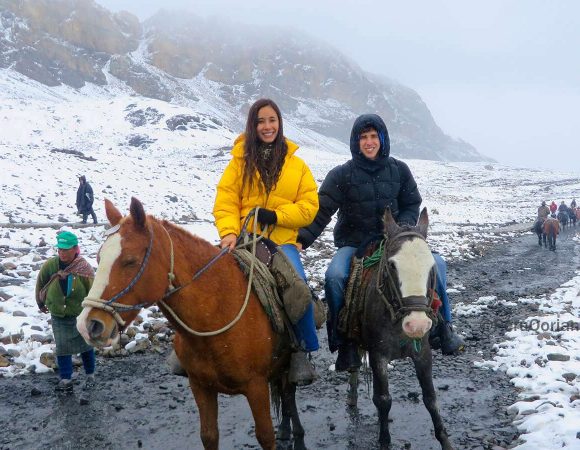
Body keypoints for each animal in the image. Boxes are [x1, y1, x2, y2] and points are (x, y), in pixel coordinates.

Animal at [76, 200, 308, 450]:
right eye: (99, 258)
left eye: (130, 261)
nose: (88, 325)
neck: (216, 314)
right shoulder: (200, 387)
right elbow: (209, 435)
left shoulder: (256, 386)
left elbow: (265, 435)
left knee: (289, 394)